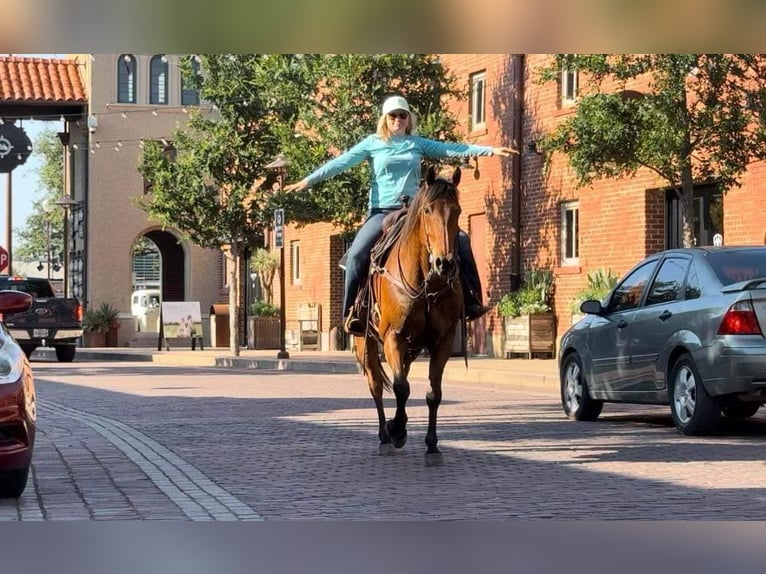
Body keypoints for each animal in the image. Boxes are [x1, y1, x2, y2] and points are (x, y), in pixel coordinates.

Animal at [356, 166, 464, 468]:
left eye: (457, 210)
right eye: (427, 210)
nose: (444, 263)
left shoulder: (443, 341)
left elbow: (433, 393)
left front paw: (432, 445)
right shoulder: (394, 336)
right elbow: (401, 387)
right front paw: (396, 429)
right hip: (365, 342)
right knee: (377, 385)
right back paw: (385, 435)